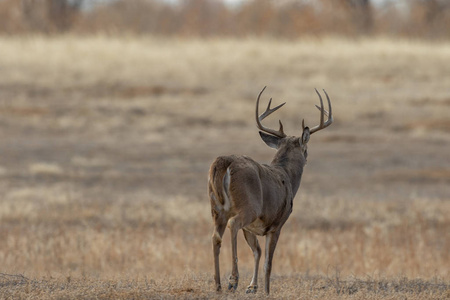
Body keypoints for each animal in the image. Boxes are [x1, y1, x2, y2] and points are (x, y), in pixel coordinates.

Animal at [209, 86, 332, 292]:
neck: (287, 176)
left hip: (216, 208)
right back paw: (232, 280)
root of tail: (225, 162)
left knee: (215, 236)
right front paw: (265, 290)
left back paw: (218, 284)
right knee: (233, 224)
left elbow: (257, 251)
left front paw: (252, 287)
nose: (307, 158)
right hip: (248, 206)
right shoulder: (277, 224)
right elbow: (268, 262)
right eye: (306, 149)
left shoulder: (252, 228)